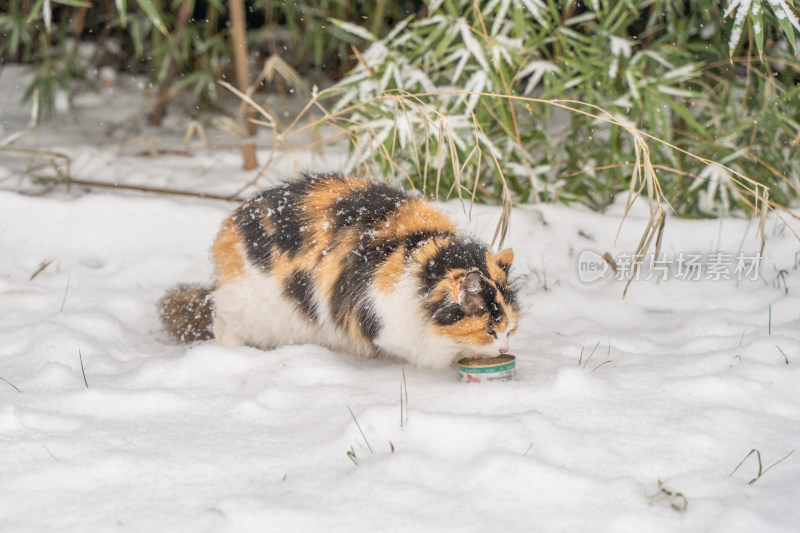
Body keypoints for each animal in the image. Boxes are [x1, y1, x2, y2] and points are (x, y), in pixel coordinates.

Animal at [162, 170, 520, 366]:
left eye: (511, 329)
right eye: (490, 330)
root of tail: (228, 230)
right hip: (250, 311)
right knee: (223, 324)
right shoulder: (389, 320)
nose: (504, 347)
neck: (421, 252)